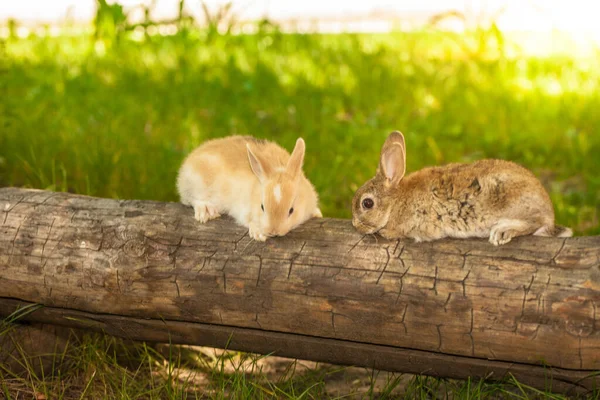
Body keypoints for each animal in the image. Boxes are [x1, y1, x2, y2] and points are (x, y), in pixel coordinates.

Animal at [176, 135, 322, 241]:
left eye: (291, 210)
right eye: (262, 207)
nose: (273, 232)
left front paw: (317, 213)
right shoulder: (242, 209)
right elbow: (248, 220)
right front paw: (258, 233)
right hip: (194, 183)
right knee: (191, 199)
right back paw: (206, 210)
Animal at [352, 131, 572, 245]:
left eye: (367, 203)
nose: (355, 225)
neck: (395, 201)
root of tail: (549, 213)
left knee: (533, 223)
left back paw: (502, 232)